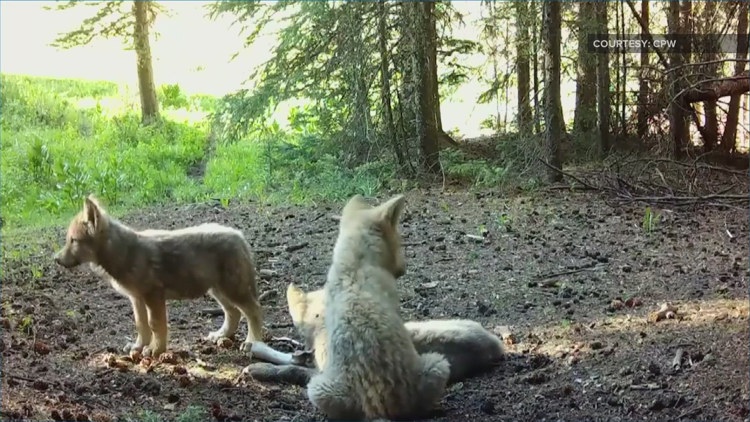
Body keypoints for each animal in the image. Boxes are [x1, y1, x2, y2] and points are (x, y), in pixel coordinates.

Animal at [53, 196, 264, 358]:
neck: (125, 253)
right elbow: (141, 325)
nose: (55, 259)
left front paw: (155, 349)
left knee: (254, 310)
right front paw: (139, 347)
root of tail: (239, 235)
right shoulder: (136, 298)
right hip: (217, 289)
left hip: (232, 289)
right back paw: (222, 335)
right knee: (233, 312)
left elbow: (156, 325)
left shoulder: (153, 296)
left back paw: (252, 342)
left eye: (73, 240)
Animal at [301, 194, 450, 421]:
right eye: (399, 241)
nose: (404, 269)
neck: (355, 265)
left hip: (318, 390)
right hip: (438, 363)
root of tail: (382, 404)